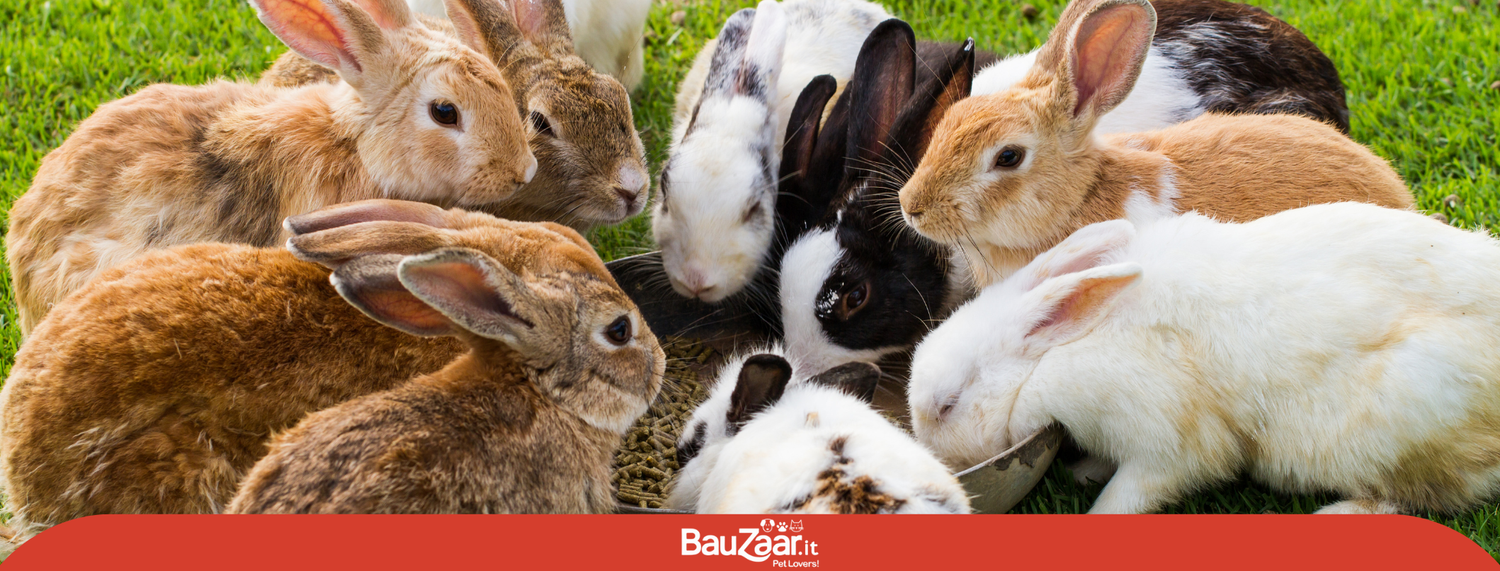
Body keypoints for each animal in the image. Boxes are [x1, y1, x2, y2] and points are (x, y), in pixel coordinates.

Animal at [909, 202, 1500, 515]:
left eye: (947, 405)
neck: (1053, 356)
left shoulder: (1167, 446)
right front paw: (1083, 471)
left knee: (1418, 499)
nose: (940, 463)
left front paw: (1094, 509)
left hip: (1390, 428)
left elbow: (1132, 493)